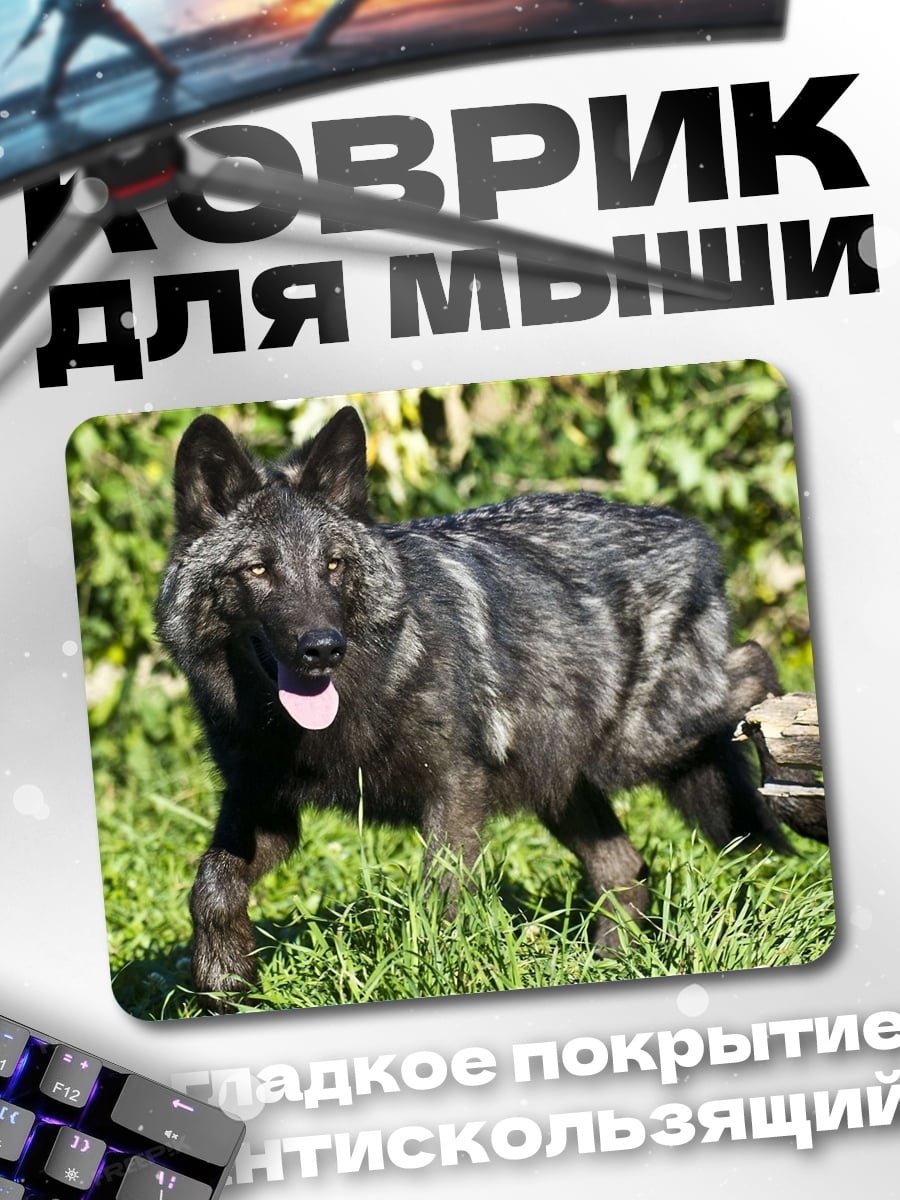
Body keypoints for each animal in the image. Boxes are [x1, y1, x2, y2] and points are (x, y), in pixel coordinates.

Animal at [156, 406, 787, 1003]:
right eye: (258, 569)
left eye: (332, 565)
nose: (323, 648)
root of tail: (693, 532)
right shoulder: (262, 803)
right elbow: (211, 886)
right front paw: (224, 979)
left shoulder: (455, 790)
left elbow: (440, 895)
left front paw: (434, 973)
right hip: (565, 787)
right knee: (623, 870)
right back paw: (608, 963)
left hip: (637, 746)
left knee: (754, 667)